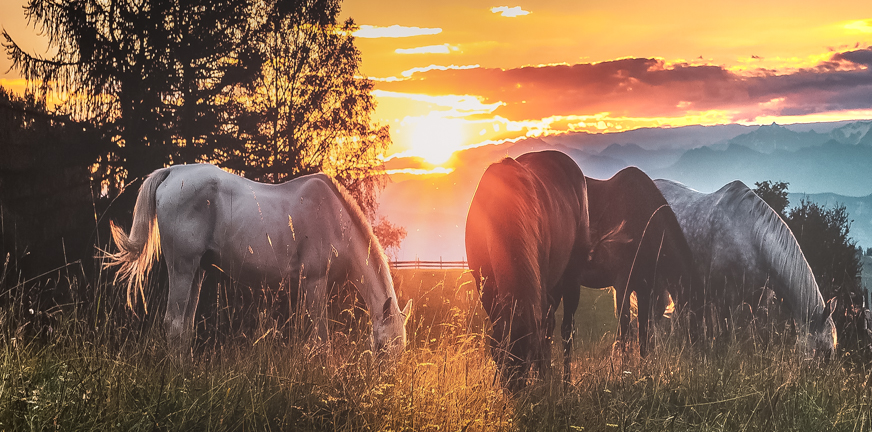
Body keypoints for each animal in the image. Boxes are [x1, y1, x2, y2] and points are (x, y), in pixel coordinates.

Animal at [464, 150, 592, 386]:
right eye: (498, 357)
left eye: (529, 356)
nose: (513, 390)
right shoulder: (485, 287)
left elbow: (547, 333)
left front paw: (543, 377)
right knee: (550, 324)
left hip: (572, 278)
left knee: (565, 330)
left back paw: (564, 382)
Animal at [584, 167, 704, 356]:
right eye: (693, 315)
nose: (702, 354)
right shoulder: (622, 287)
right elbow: (625, 333)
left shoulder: (645, 290)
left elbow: (644, 335)